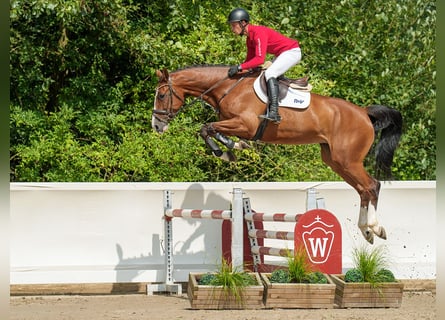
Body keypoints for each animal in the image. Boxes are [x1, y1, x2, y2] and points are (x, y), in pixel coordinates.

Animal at [150, 65, 402, 245]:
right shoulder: (233, 124)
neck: (227, 88)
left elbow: (207, 127)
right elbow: (208, 129)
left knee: (372, 186)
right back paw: (367, 231)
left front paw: (226, 150)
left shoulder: (245, 124)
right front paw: (231, 148)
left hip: (348, 160)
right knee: (362, 190)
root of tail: (364, 112)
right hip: (336, 161)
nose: (156, 126)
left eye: (161, 95)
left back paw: (375, 228)